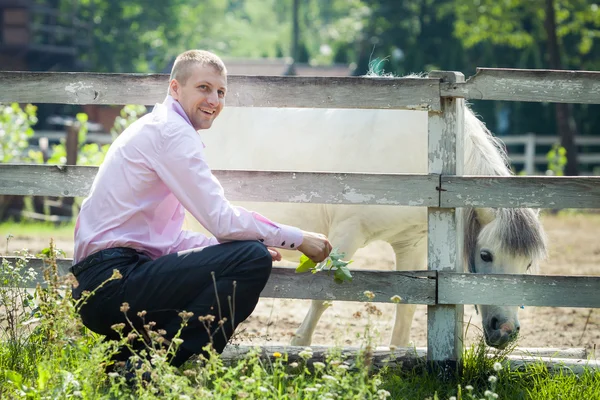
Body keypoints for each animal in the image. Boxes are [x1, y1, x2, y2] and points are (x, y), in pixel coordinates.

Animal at [185, 80, 548, 346]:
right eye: (486, 255)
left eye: (528, 264)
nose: (506, 330)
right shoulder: (346, 236)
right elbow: (321, 298)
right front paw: (298, 347)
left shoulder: (412, 246)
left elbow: (407, 310)